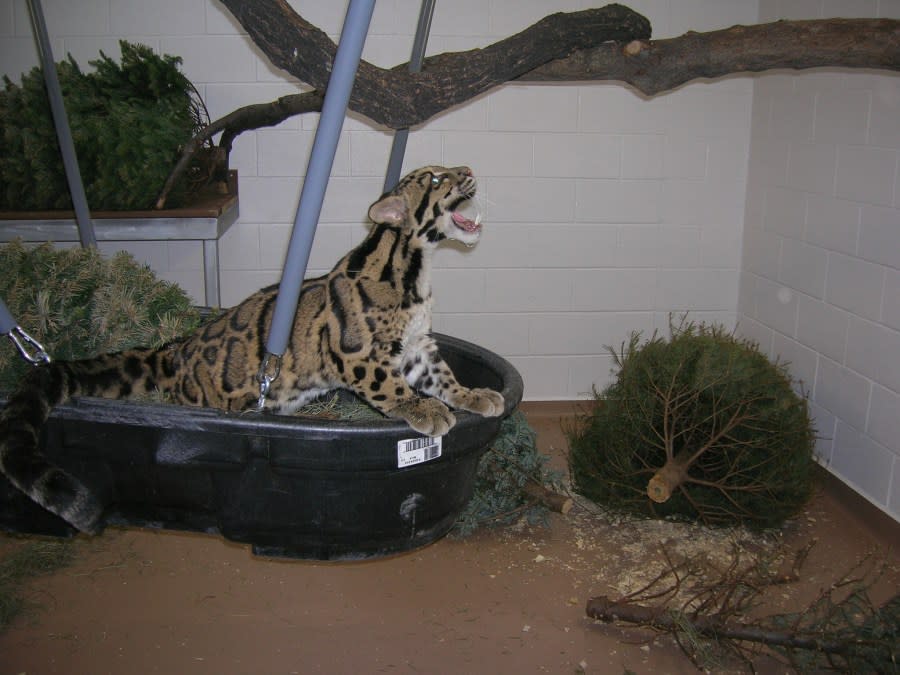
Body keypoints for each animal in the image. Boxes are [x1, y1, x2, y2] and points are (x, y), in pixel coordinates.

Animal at [0, 164, 502, 532]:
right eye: (436, 179)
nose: (467, 168)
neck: (415, 270)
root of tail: (173, 351)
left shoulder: (417, 347)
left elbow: (443, 377)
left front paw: (473, 396)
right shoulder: (357, 353)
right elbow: (391, 386)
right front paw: (424, 410)